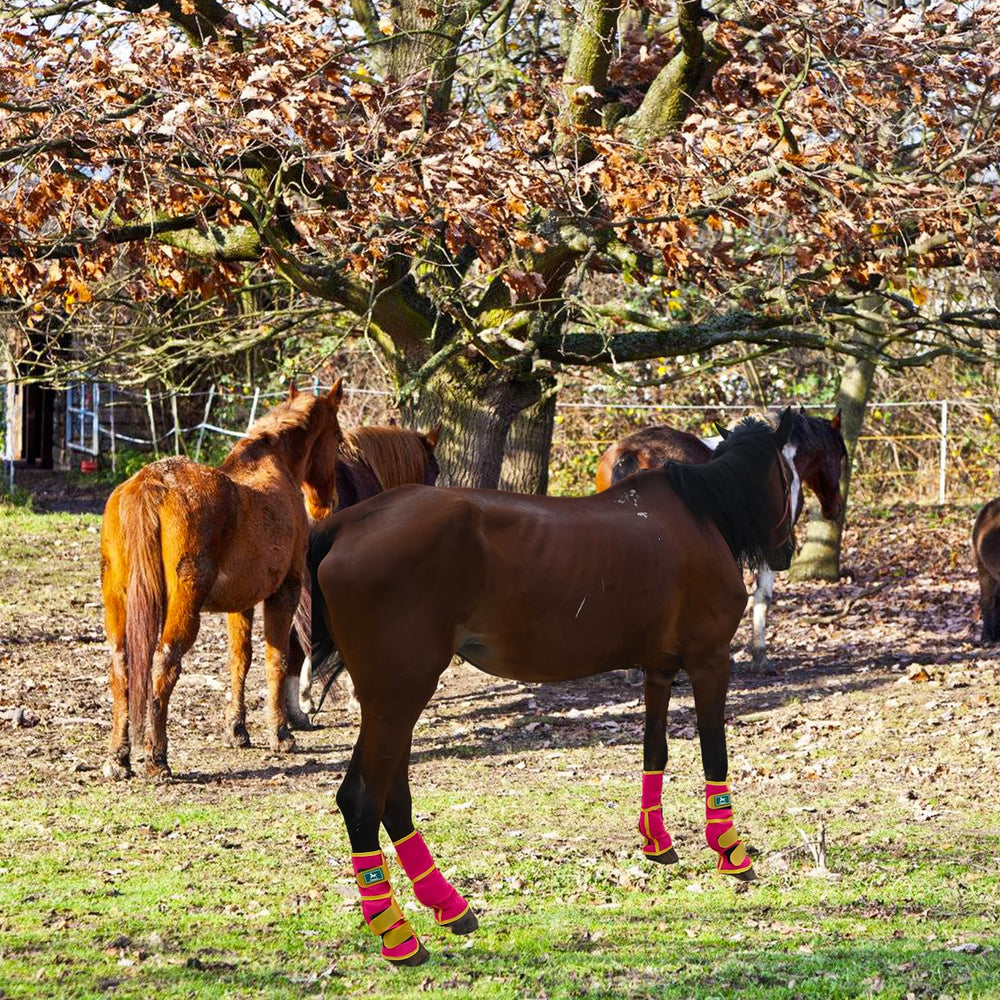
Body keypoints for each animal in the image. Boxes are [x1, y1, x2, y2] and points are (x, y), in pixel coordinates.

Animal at [99, 381, 344, 781]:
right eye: (337, 439)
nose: (327, 503)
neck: (270, 465)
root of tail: (150, 483)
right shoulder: (284, 592)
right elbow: (276, 659)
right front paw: (280, 734)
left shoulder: (240, 603)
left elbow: (239, 660)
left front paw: (237, 730)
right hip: (185, 607)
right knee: (164, 664)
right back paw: (157, 759)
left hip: (118, 603)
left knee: (121, 666)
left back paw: (119, 759)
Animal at [315, 410, 796, 965]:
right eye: (789, 477)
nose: (787, 551)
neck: (700, 514)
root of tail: (348, 523)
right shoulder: (709, 661)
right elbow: (714, 755)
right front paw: (731, 851)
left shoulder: (658, 669)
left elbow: (655, 750)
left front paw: (657, 843)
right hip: (397, 698)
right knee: (361, 800)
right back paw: (397, 933)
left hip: (395, 699)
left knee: (392, 800)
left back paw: (448, 906)